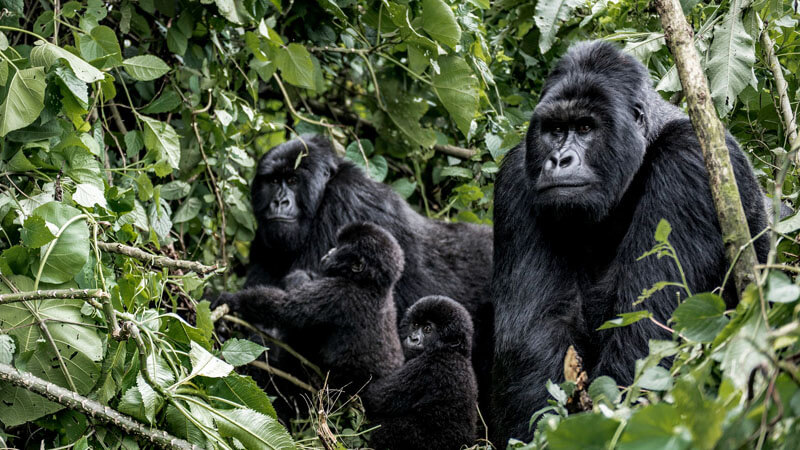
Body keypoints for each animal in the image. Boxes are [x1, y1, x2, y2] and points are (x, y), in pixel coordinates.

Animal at [216, 223, 404, 388]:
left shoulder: (338, 292)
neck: (370, 284)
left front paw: (234, 299)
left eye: (339, 248)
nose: (330, 252)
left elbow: (284, 309)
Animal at [364, 296, 482, 450]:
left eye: (427, 329)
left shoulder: (427, 365)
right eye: (415, 325)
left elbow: (376, 397)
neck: (454, 351)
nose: (413, 338)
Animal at [490, 41, 772, 442]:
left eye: (585, 127)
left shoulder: (690, 159)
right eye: (555, 129)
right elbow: (535, 332)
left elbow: (649, 333)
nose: (559, 159)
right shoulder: (516, 175)